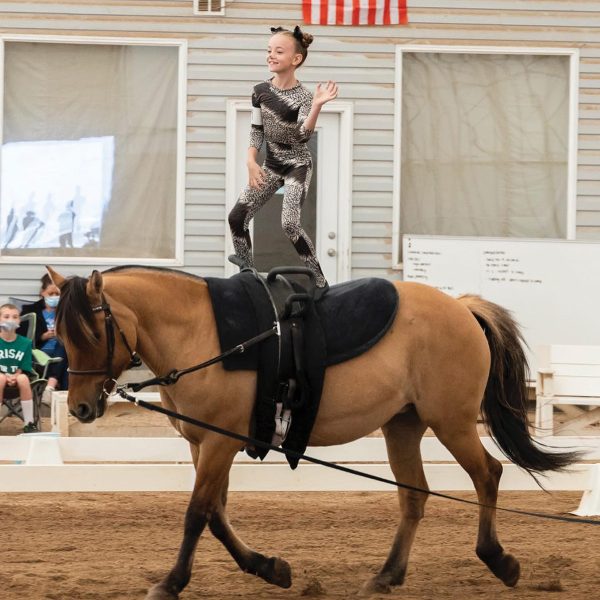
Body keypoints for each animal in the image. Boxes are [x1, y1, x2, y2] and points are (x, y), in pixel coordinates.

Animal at [48, 268, 576, 600]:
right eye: (61, 333)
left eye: (91, 333)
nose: (80, 407)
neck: (204, 333)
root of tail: (461, 308)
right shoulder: (204, 444)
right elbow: (216, 515)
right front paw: (270, 568)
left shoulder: (219, 443)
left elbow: (197, 514)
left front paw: (172, 582)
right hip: (404, 425)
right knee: (415, 496)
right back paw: (386, 576)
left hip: (452, 422)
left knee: (487, 475)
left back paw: (498, 559)